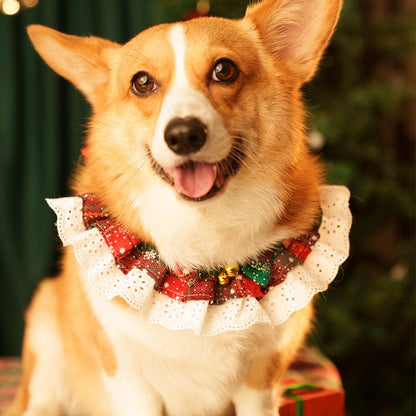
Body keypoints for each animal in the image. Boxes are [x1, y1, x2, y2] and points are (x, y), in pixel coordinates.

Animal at [6, 0, 352, 416]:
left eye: (224, 70)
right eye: (142, 83)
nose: (184, 134)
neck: (203, 236)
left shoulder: (261, 382)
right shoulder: (132, 382)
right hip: (46, 343)